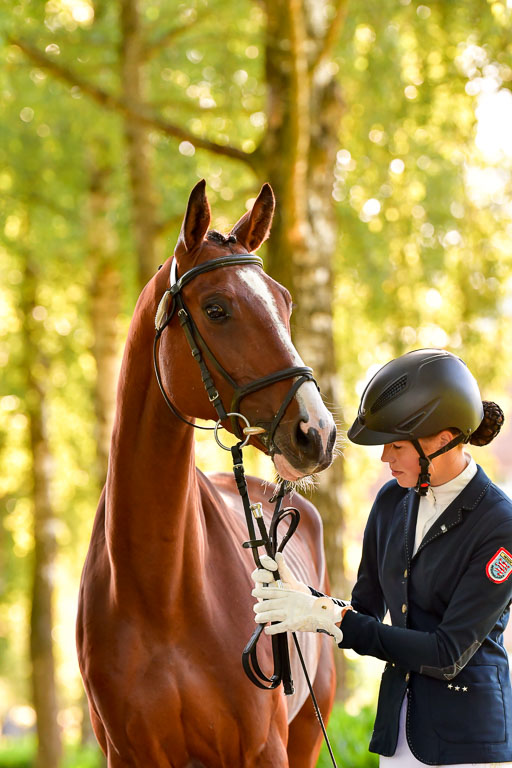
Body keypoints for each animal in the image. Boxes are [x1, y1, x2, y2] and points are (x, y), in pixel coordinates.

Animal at [77, 180, 338, 767]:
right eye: (216, 309)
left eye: (285, 302)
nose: (317, 432)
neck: (162, 593)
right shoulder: (130, 755)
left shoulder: (265, 749)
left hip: (308, 734)